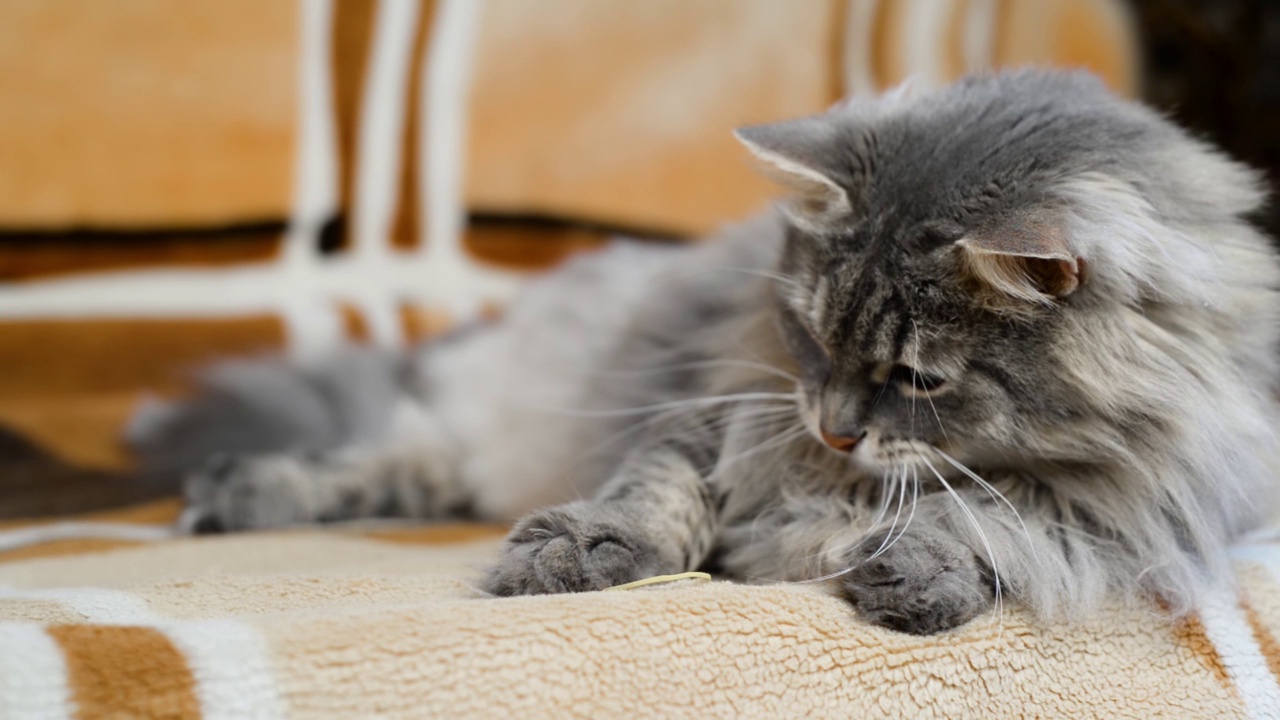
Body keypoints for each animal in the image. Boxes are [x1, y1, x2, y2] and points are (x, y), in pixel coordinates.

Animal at [129, 71, 1280, 632]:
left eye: (916, 379)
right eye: (810, 336)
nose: (835, 429)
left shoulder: (1130, 510)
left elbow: (997, 523)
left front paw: (917, 573)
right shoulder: (709, 414)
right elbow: (654, 500)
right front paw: (580, 555)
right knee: (386, 457)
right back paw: (233, 494)